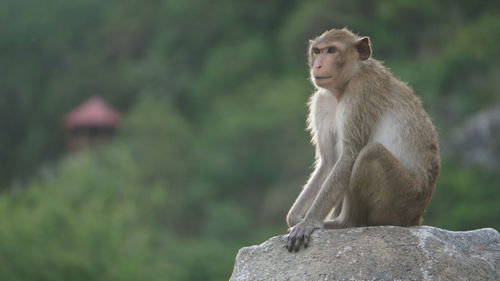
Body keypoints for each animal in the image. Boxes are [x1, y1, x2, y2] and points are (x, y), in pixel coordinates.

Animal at [288, 28, 440, 252]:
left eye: (331, 50)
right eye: (317, 51)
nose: (318, 65)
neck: (343, 86)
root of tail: (416, 218)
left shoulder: (361, 90)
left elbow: (350, 155)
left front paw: (308, 222)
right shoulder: (321, 102)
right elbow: (329, 162)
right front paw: (295, 217)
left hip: (403, 198)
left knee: (371, 153)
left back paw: (346, 223)